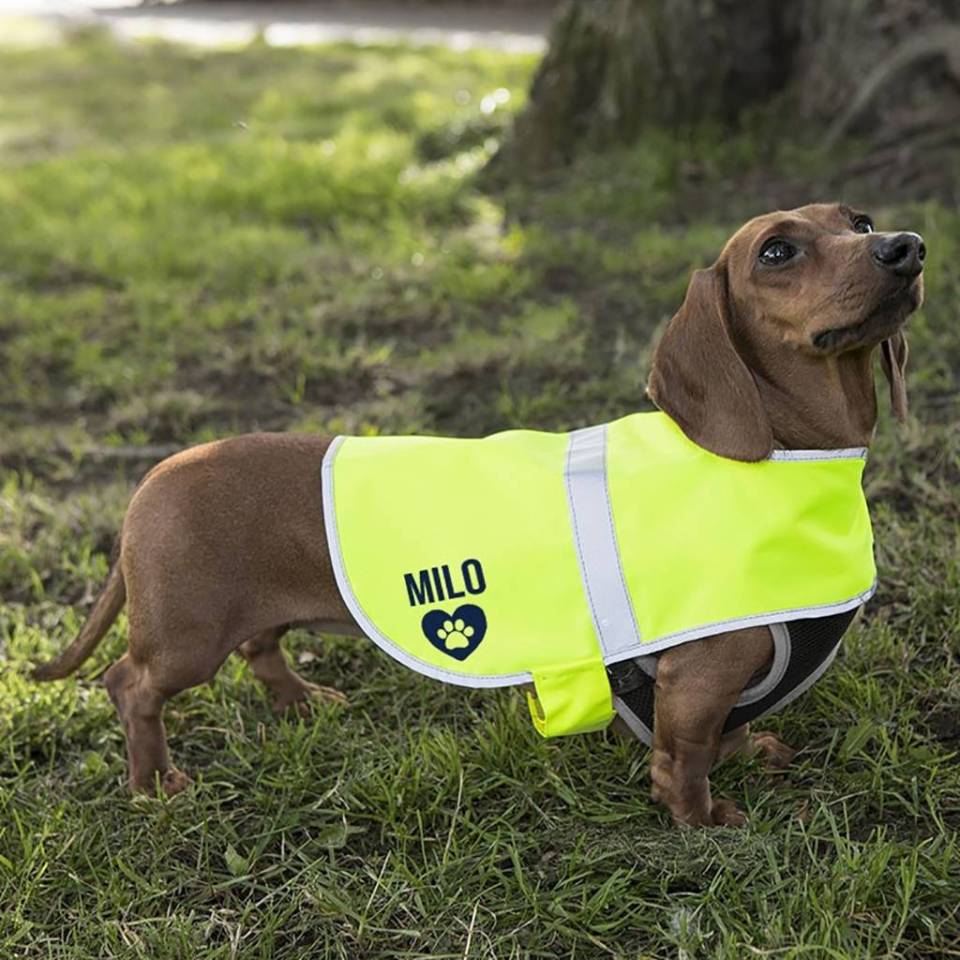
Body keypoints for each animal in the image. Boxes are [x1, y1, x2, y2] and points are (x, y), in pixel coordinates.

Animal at [35, 201, 924, 824]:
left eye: (859, 221)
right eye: (776, 250)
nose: (906, 247)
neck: (786, 457)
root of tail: (152, 480)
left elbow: (725, 735)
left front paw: (753, 750)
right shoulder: (699, 673)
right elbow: (685, 760)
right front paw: (705, 823)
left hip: (244, 613)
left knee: (262, 647)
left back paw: (303, 702)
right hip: (184, 637)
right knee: (130, 686)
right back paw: (154, 783)